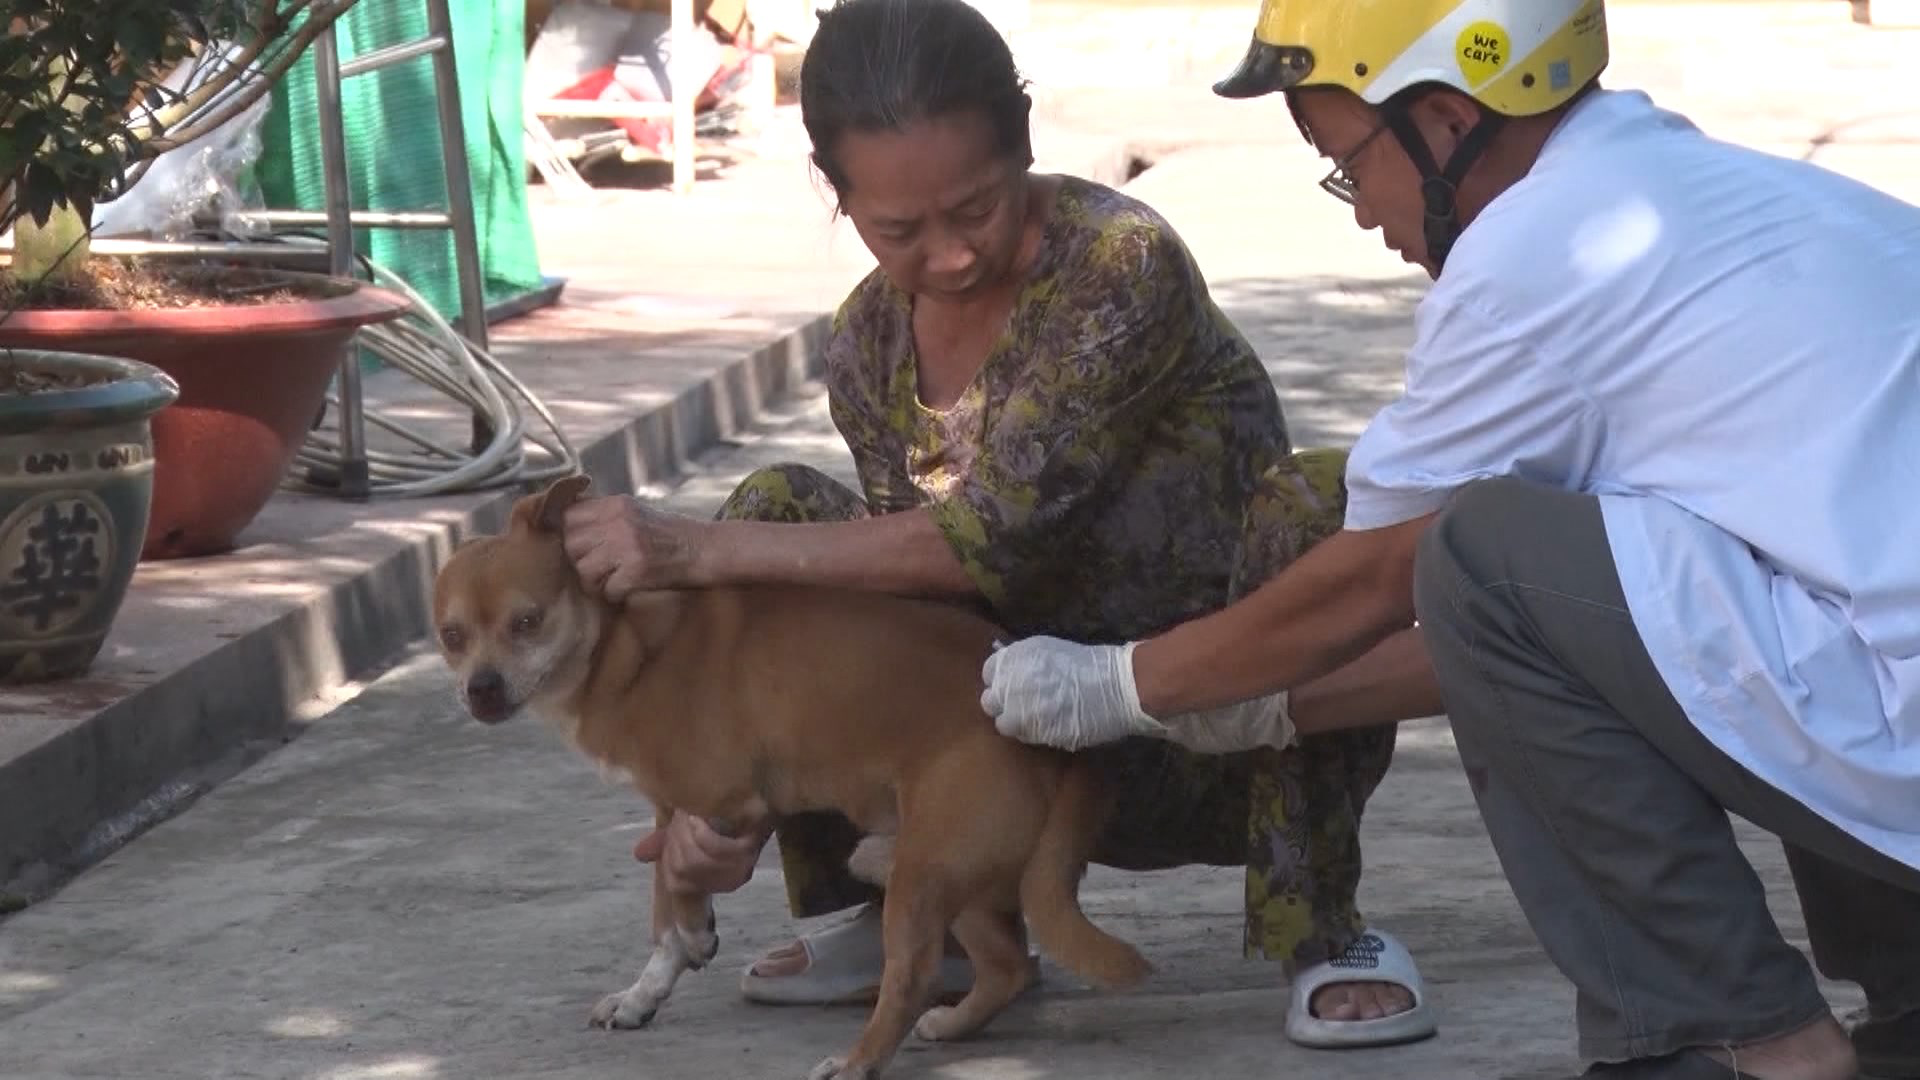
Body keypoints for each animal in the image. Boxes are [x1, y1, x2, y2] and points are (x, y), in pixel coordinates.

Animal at [432, 474, 1152, 1068]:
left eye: (527, 622)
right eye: (451, 636)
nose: (482, 689)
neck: (623, 642)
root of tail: (1068, 750)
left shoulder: (724, 802)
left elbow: (676, 883)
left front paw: (691, 939)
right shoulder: (670, 807)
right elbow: (663, 896)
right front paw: (647, 990)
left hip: (922, 873)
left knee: (912, 977)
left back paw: (861, 1060)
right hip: (948, 867)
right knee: (1004, 967)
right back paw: (952, 1025)